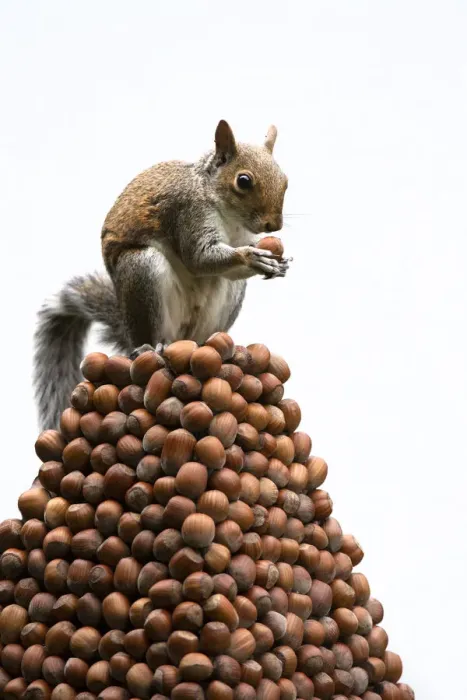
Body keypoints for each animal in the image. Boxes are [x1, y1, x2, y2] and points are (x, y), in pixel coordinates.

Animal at [34, 120, 289, 430]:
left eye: (285, 180)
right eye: (243, 181)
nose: (274, 225)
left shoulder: (241, 236)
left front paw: (277, 263)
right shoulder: (187, 212)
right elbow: (200, 258)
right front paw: (252, 257)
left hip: (221, 308)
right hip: (143, 272)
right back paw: (148, 347)